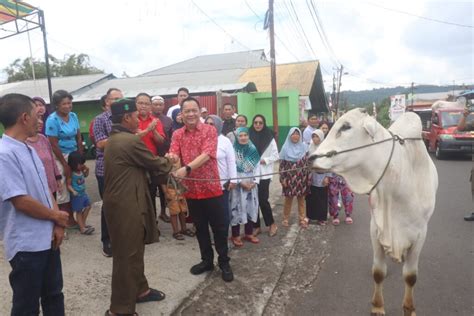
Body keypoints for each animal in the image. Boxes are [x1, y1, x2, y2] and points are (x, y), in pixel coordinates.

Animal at [310, 107, 438, 314]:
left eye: (346, 126)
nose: (311, 158)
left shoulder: (420, 233)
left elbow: (410, 276)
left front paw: (409, 308)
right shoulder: (376, 229)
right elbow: (378, 272)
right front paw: (377, 307)